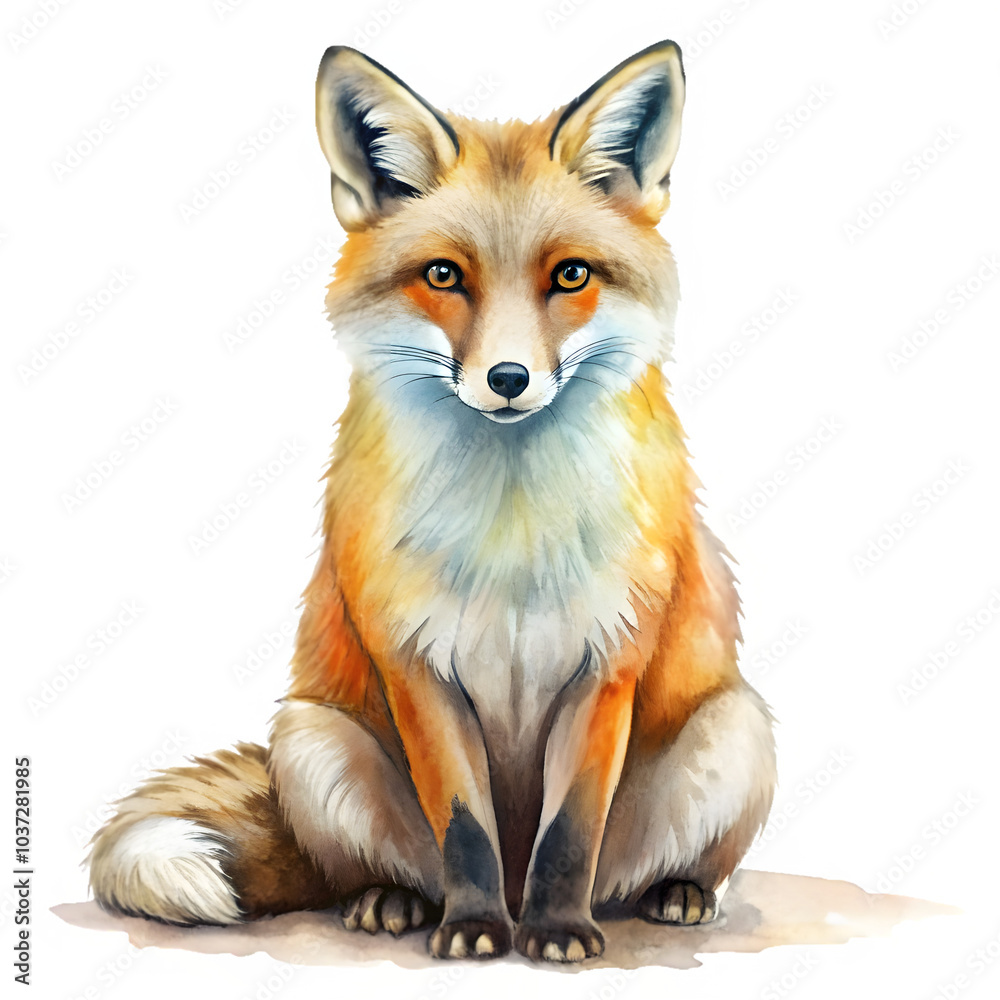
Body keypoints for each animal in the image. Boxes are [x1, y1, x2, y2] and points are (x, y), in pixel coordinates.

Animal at [87, 40, 777, 964]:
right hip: (310, 737)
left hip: (737, 727)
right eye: (444, 274)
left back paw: (675, 893)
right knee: (374, 868)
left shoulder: (607, 663)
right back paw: (395, 901)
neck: (512, 535)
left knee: (644, 866)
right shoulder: (415, 664)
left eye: (571, 275)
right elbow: (464, 826)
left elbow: (569, 832)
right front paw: (476, 927)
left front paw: (557, 932)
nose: (509, 379)